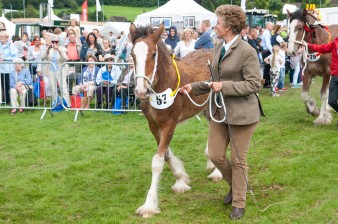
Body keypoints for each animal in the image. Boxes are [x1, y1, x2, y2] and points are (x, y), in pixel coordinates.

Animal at [128, 23, 218, 218]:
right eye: (132, 54)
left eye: (153, 54)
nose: (140, 91)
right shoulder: (153, 126)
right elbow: (167, 155)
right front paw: (181, 179)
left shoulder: (169, 124)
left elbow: (157, 162)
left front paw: (148, 205)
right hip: (207, 109)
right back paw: (210, 162)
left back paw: (216, 173)